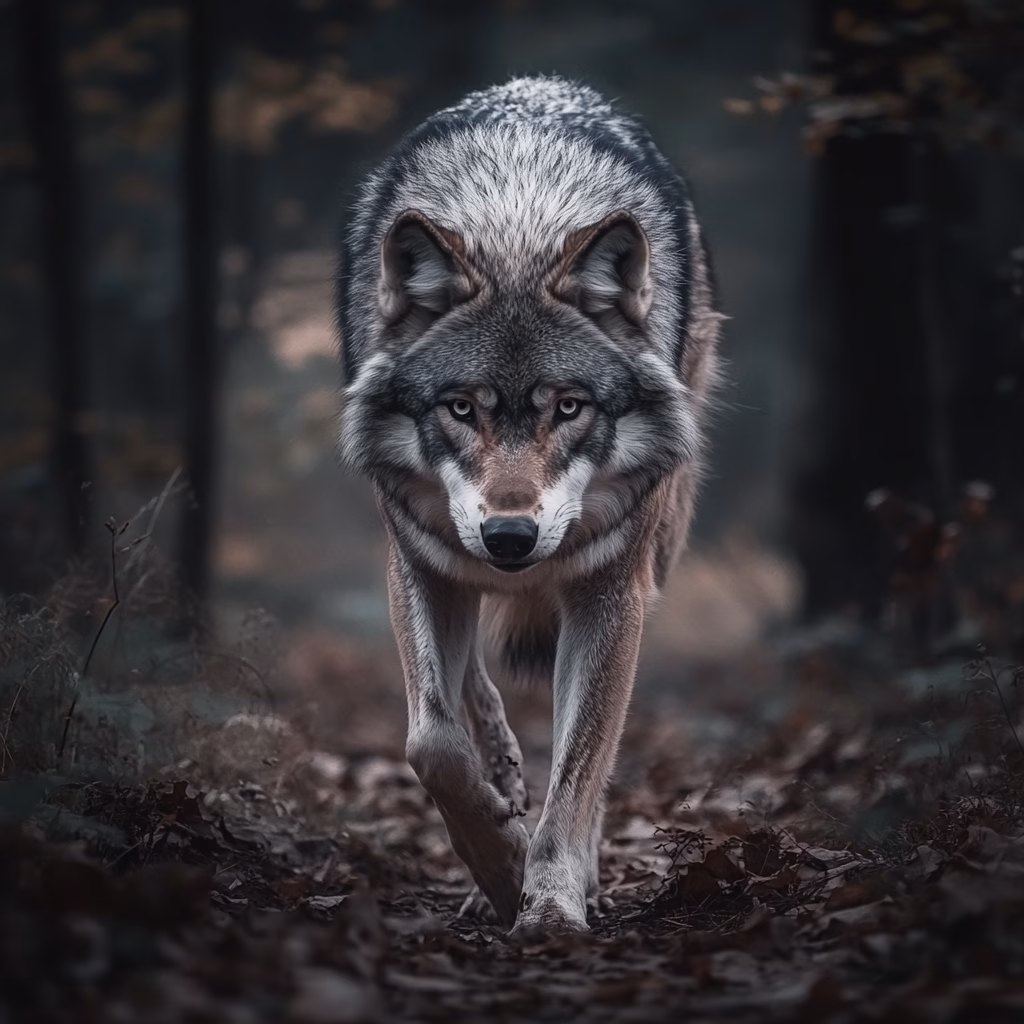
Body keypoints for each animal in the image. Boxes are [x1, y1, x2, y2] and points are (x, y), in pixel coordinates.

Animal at [336, 76, 722, 933]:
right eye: (461, 408)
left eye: (569, 407)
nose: (510, 536)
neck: (517, 227)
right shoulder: (417, 558)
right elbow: (430, 742)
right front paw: (501, 865)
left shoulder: (610, 593)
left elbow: (578, 771)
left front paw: (548, 897)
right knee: (468, 684)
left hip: (656, 546)